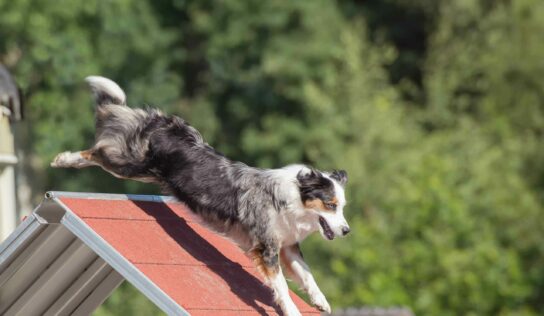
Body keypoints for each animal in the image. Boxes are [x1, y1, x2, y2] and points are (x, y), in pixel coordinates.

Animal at [51, 77, 348, 316]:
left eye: (342, 207)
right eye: (330, 205)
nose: (346, 230)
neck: (292, 200)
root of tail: (164, 123)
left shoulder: (288, 246)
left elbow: (308, 276)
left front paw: (321, 301)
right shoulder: (266, 248)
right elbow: (283, 288)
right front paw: (292, 310)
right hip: (129, 165)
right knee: (97, 150)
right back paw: (63, 158)